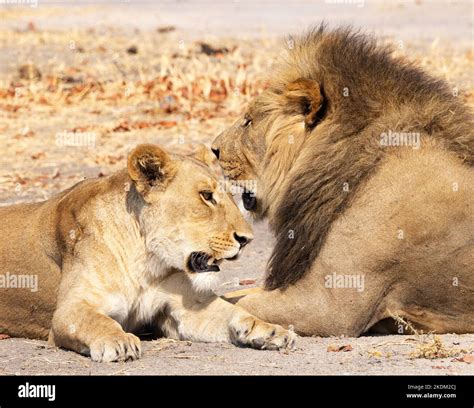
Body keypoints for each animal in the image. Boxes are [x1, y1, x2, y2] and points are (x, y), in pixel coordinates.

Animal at [0, 143, 294, 360]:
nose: (247, 239)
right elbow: (97, 321)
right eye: (206, 196)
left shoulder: (184, 307)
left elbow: (233, 312)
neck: (146, 260)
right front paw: (118, 340)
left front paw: (270, 331)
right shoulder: (69, 311)